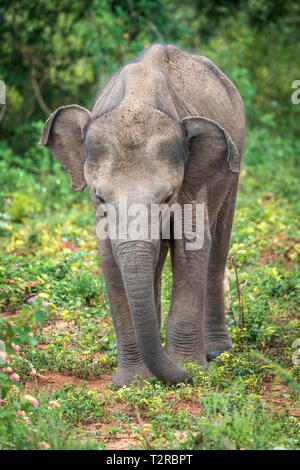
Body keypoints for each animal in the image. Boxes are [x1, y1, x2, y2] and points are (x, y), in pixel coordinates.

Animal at [40, 44, 246, 388]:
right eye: (99, 197)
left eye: (168, 197)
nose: (185, 377)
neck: (136, 99)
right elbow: (110, 259)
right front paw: (132, 383)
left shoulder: (192, 185)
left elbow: (192, 248)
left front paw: (190, 370)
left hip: (235, 161)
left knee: (217, 247)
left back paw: (217, 352)